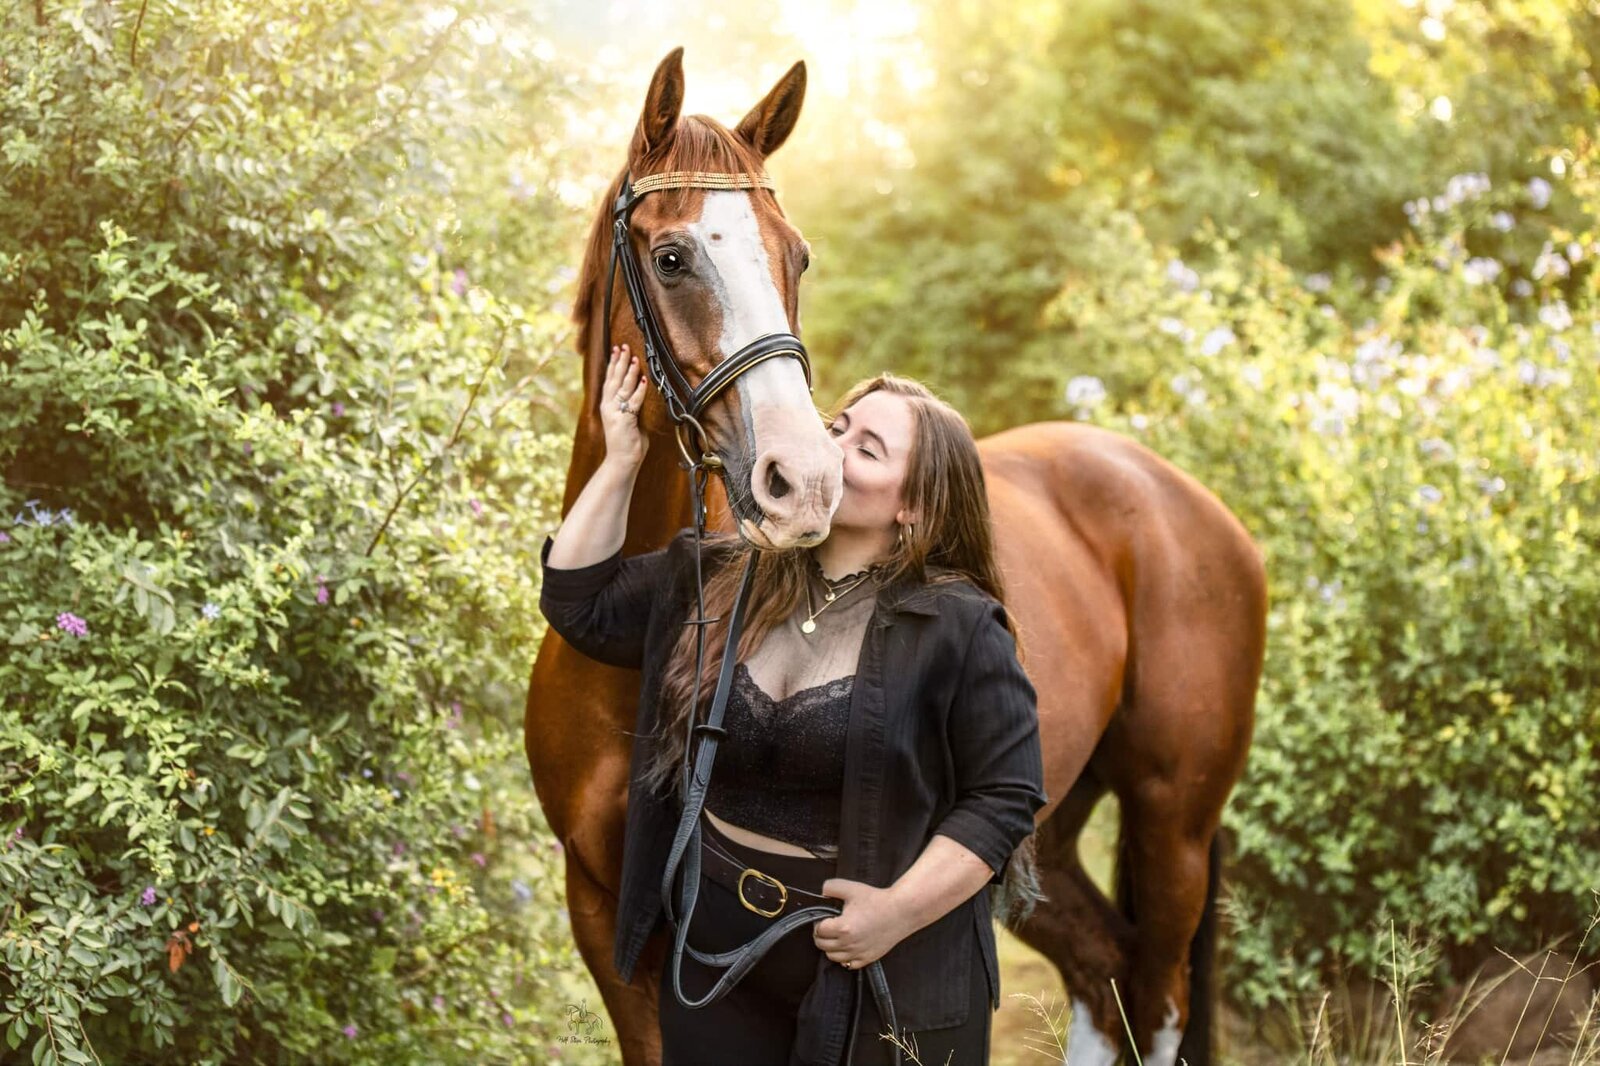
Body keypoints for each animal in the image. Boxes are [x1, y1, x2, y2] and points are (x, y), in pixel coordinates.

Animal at [521, 45, 1260, 1056]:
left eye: (796, 255)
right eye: (672, 258)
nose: (804, 480)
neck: (620, 660)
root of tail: (1183, 499)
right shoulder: (606, 915)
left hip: (1172, 823)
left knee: (1155, 999)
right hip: (1042, 829)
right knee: (1102, 973)